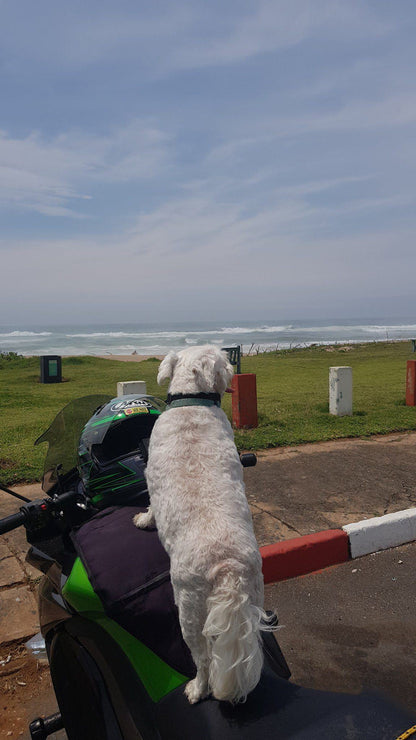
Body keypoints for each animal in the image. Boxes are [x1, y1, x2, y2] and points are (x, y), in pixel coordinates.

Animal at [133, 346, 270, 704]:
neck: (192, 401)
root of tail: (227, 567)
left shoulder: (150, 475)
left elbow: (150, 503)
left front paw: (144, 518)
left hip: (190, 608)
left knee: (204, 658)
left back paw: (197, 687)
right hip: (255, 592)